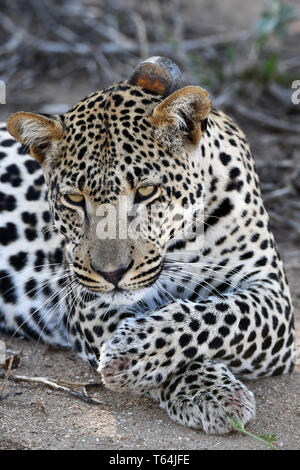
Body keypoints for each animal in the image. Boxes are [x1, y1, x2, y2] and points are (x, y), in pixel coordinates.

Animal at [0, 57, 296, 436]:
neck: (181, 242)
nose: (112, 274)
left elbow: (220, 316)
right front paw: (206, 389)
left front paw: (133, 351)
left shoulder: (271, 292)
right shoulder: (88, 300)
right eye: (74, 199)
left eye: (145, 192)